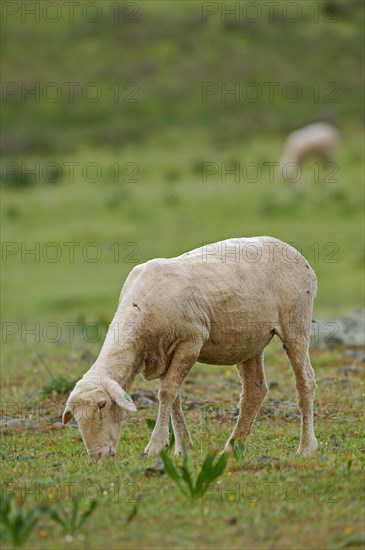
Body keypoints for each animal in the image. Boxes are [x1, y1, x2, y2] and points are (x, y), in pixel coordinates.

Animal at [61, 237, 316, 462]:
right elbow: (174, 396)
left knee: (306, 382)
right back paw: (232, 447)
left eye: (102, 405)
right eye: (75, 416)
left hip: (296, 323)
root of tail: (294, 252)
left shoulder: (191, 342)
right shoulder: (163, 352)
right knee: (255, 391)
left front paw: (155, 447)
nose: (97, 455)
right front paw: (182, 447)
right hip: (249, 341)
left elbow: (166, 392)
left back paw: (306, 448)